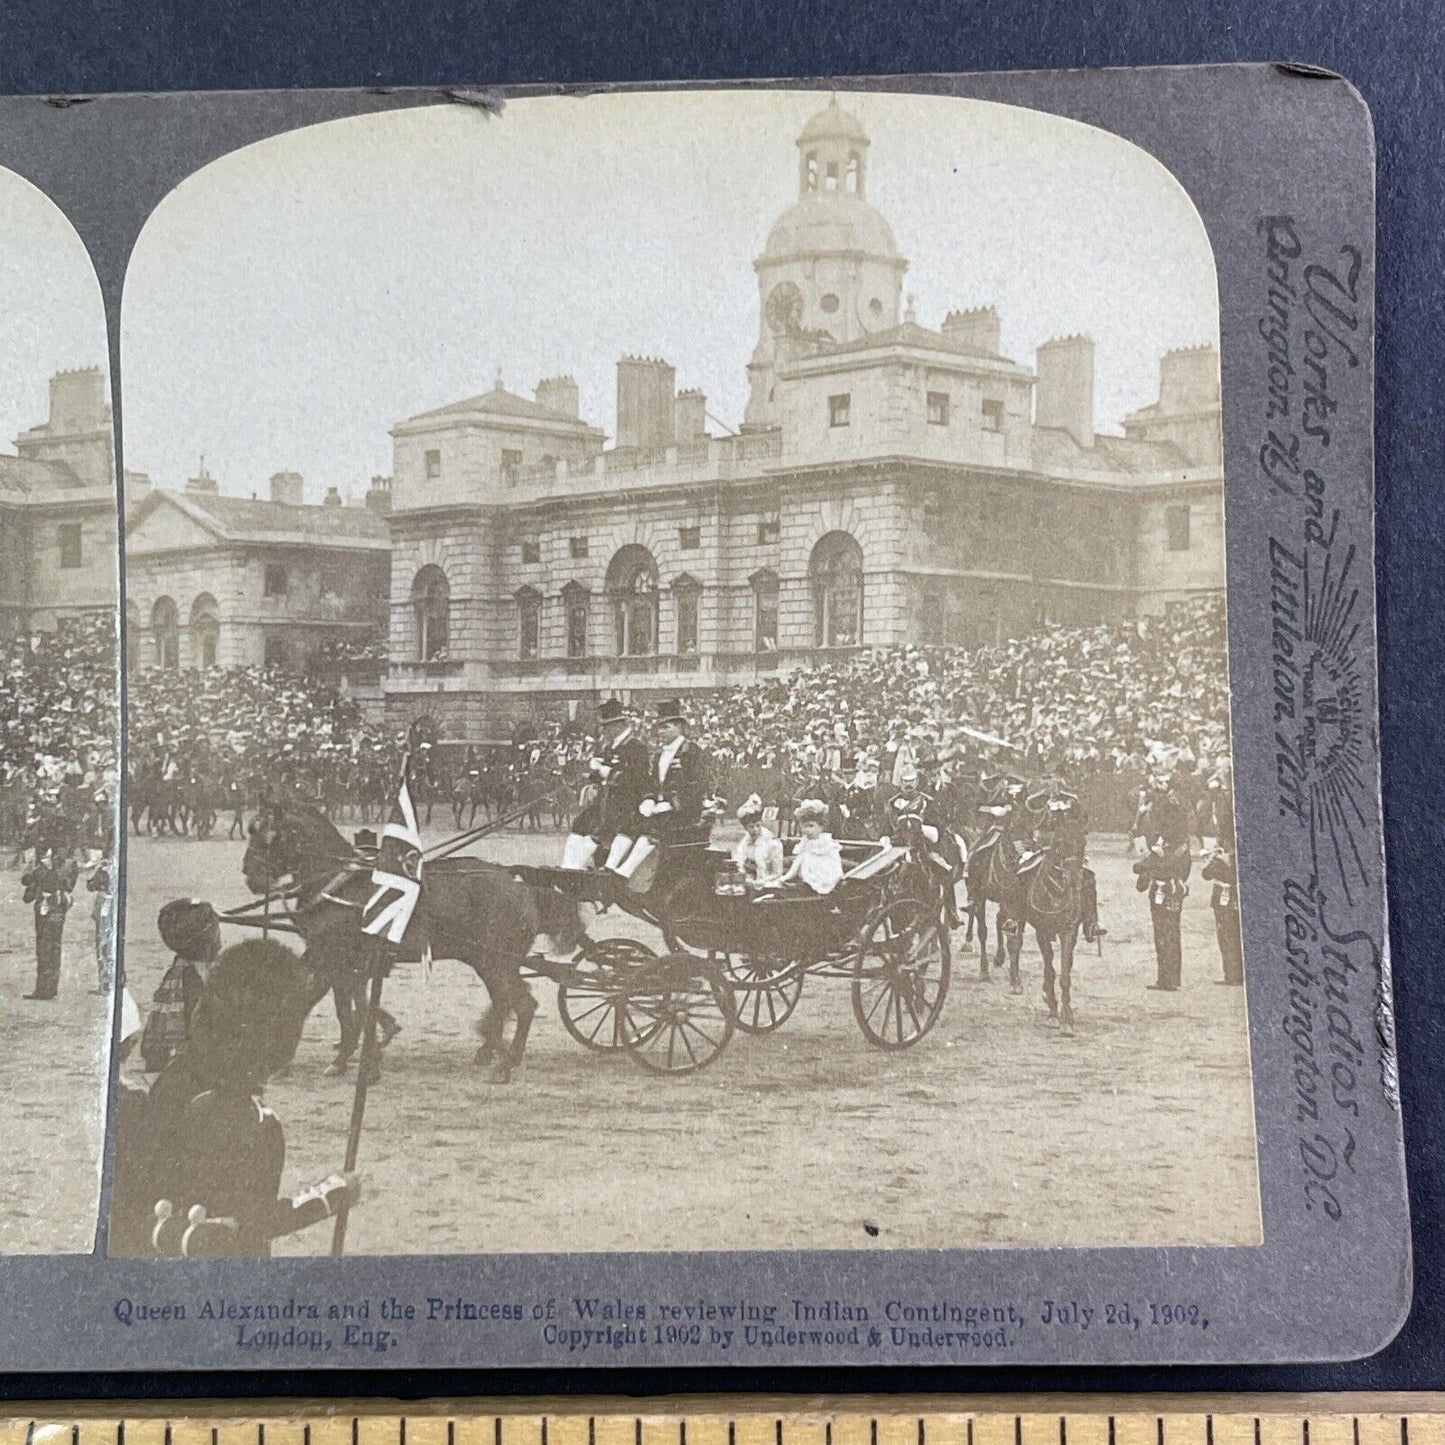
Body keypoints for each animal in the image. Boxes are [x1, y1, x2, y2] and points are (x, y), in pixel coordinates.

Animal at [244, 797, 586, 1080]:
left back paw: (506, 1064)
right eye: (251, 829)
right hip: (486, 960)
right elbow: (343, 1008)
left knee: (524, 1004)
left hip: (497, 961)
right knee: (505, 1001)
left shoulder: (336, 959)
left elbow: (338, 1006)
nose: (250, 876)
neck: (340, 884)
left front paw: (365, 1058)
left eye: (267, 834)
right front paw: (345, 1056)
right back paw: (490, 1048)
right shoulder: (336, 960)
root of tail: (521, 887)